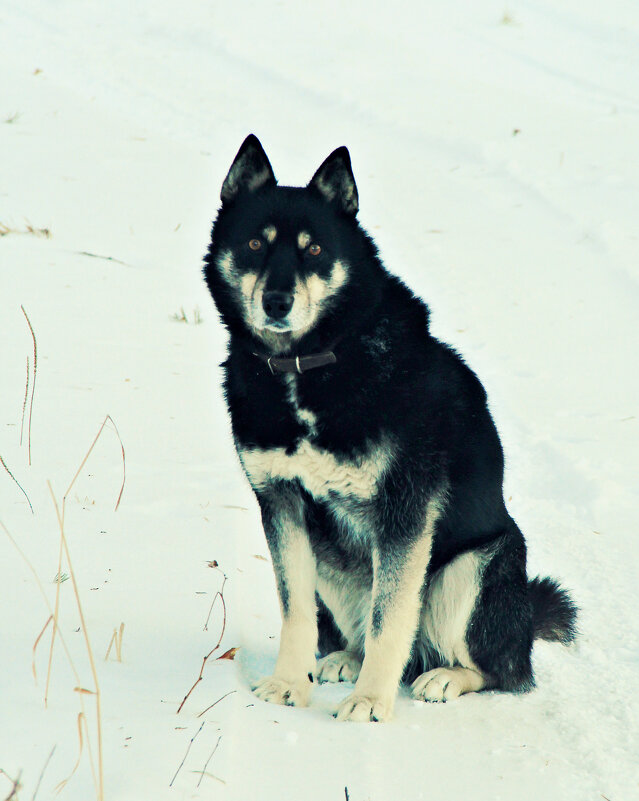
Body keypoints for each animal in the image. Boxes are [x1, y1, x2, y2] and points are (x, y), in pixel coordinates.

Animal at [202, 134, 576, 720]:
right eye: (256, 244)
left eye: (314, 251)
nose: (276, 301)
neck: (310, 367)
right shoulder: (282, 504)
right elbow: (296, 612)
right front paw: (288, 683)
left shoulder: (404, 513)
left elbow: (389, 617)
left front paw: (371, 701)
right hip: (332, 562)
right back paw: (344, 660)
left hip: (472, 568)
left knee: (501, 670)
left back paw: (444, 677)